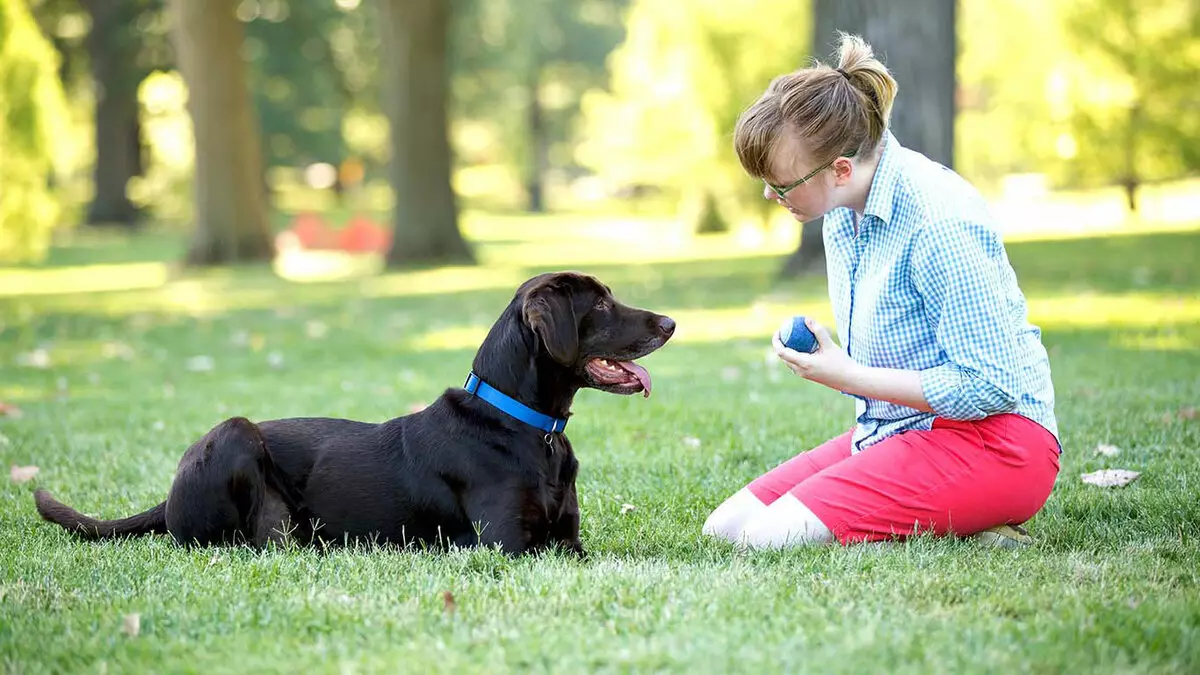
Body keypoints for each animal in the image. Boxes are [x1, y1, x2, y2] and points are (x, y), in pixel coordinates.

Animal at [32, 270, 676, 554]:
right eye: (601, 305)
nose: (671, 322)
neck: (524, 424)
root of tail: (166, 497)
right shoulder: (509, 545)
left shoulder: (567, 539)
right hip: (236, 437)